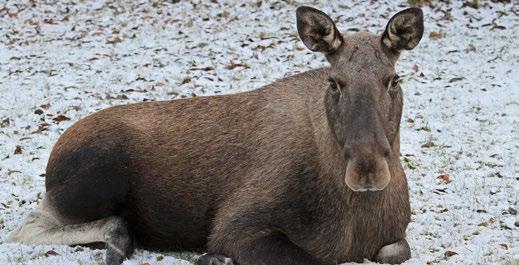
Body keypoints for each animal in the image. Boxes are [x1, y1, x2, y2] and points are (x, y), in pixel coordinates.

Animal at [7, 4, 422, 264]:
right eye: (334, 81)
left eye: (393, 79)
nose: (367, 170)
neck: (356, 216)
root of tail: (54, 152)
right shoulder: (236, 226)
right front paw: (212, 256)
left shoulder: (392, 238)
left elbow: (395, 251)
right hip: (93, 181)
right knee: (25, 225)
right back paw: (119, 237)